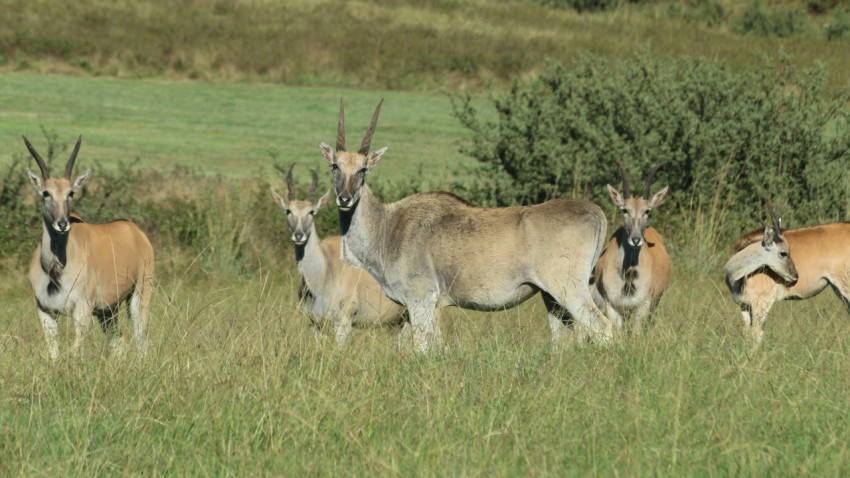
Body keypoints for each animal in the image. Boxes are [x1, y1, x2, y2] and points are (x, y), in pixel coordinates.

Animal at [23, 135, 155, 361]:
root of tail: (136, 231)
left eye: (71, 193)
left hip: (139, 297)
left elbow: (76, 352)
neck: (55, 269)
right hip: (107, 311)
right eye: (45, 193)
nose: (62, 224)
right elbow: (54, 355)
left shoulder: (82, 311)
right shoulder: (45, 312)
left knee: (141, 341)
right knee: (118, 342)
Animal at [272, 164, 407, 346]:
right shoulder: (315, 324)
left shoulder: (344, 322)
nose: (299, 235)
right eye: (288, 211)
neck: (324, 271)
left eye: (311, 212)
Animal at [319, 100, 615, 353]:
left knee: (605, 328)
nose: (344, 198)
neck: (388, 225)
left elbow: (421, 349)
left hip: (569, 289)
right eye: (334, 166)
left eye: (363, 170)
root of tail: (594, 211)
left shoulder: (420, 300)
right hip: (552, 298)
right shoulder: (418, 308)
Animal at [592, 164, 671, 332]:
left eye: (647, 211)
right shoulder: (612, 306)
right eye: (624, 210)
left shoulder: (643, 307)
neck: (628, 275)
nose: (635, 239)